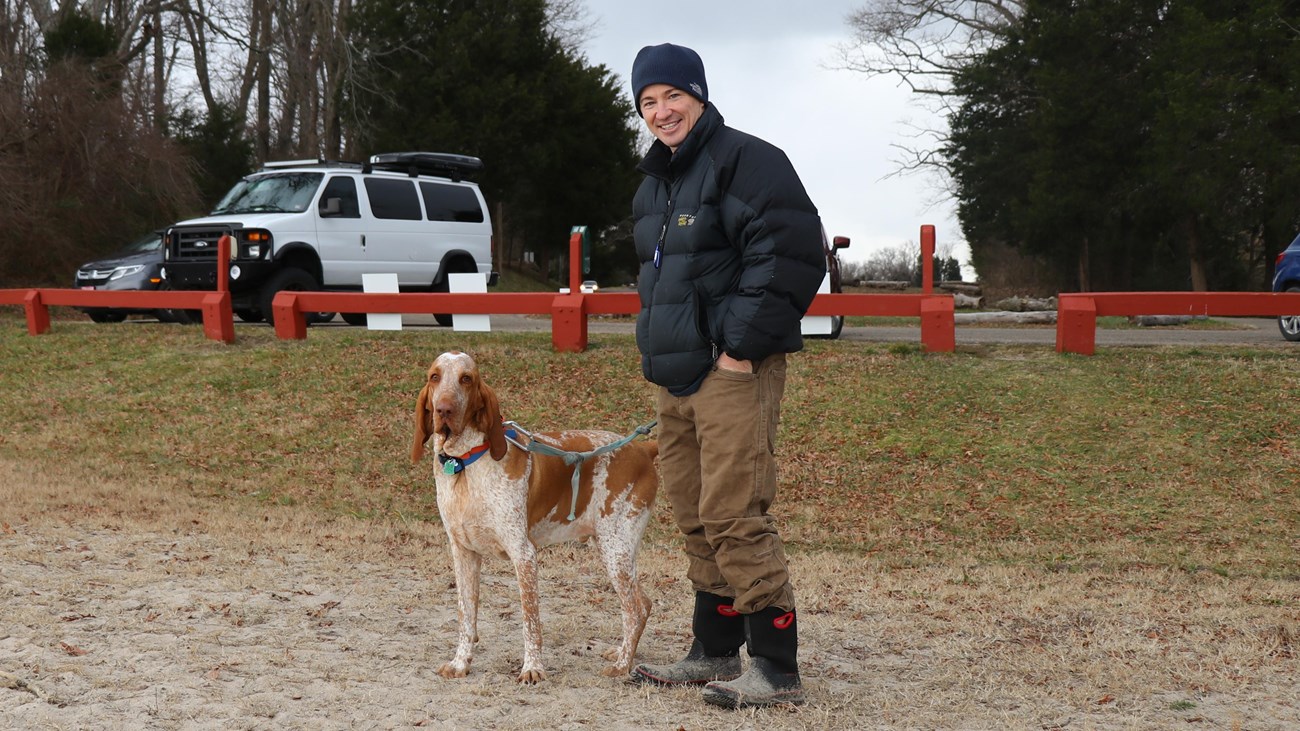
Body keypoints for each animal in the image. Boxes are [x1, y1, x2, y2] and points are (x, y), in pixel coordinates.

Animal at [413, 351, 660, 681]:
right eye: (435, 377)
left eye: (466, 378)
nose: (444, 409)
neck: (465, 463)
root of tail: (643, 449)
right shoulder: (463, 552)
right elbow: (466, 616)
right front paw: (460, 663)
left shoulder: (524, 554)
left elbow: (530, 621)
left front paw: (532, 669)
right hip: (612, 548)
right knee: (640, 603)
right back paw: (622, 654)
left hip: (615, 549)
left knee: (635, 608)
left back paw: (622, 665)